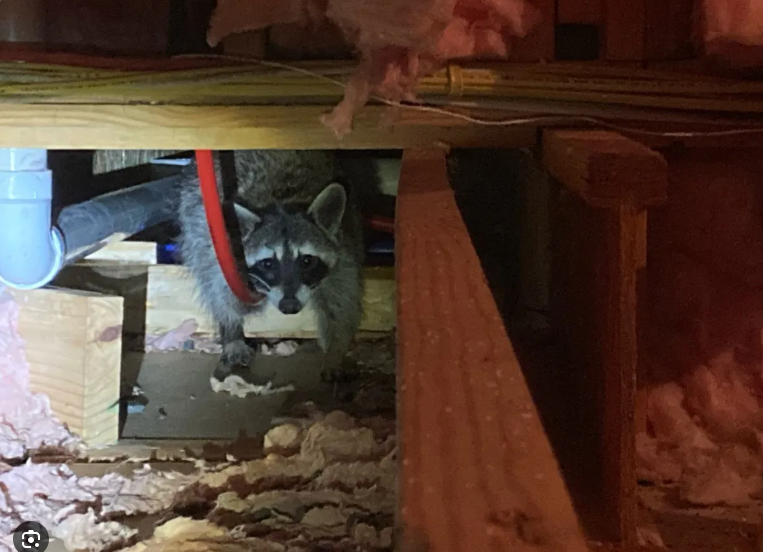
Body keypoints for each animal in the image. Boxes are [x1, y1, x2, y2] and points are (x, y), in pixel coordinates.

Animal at [177, 150, 365, 381]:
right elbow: (221, 290)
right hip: (196, 212)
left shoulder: (344, 250)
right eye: (268, 263)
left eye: (306, 260)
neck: (283, 200)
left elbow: (342, 302)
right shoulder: (225, 251)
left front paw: (335, 350)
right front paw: (231, 330)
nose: (289, 306)